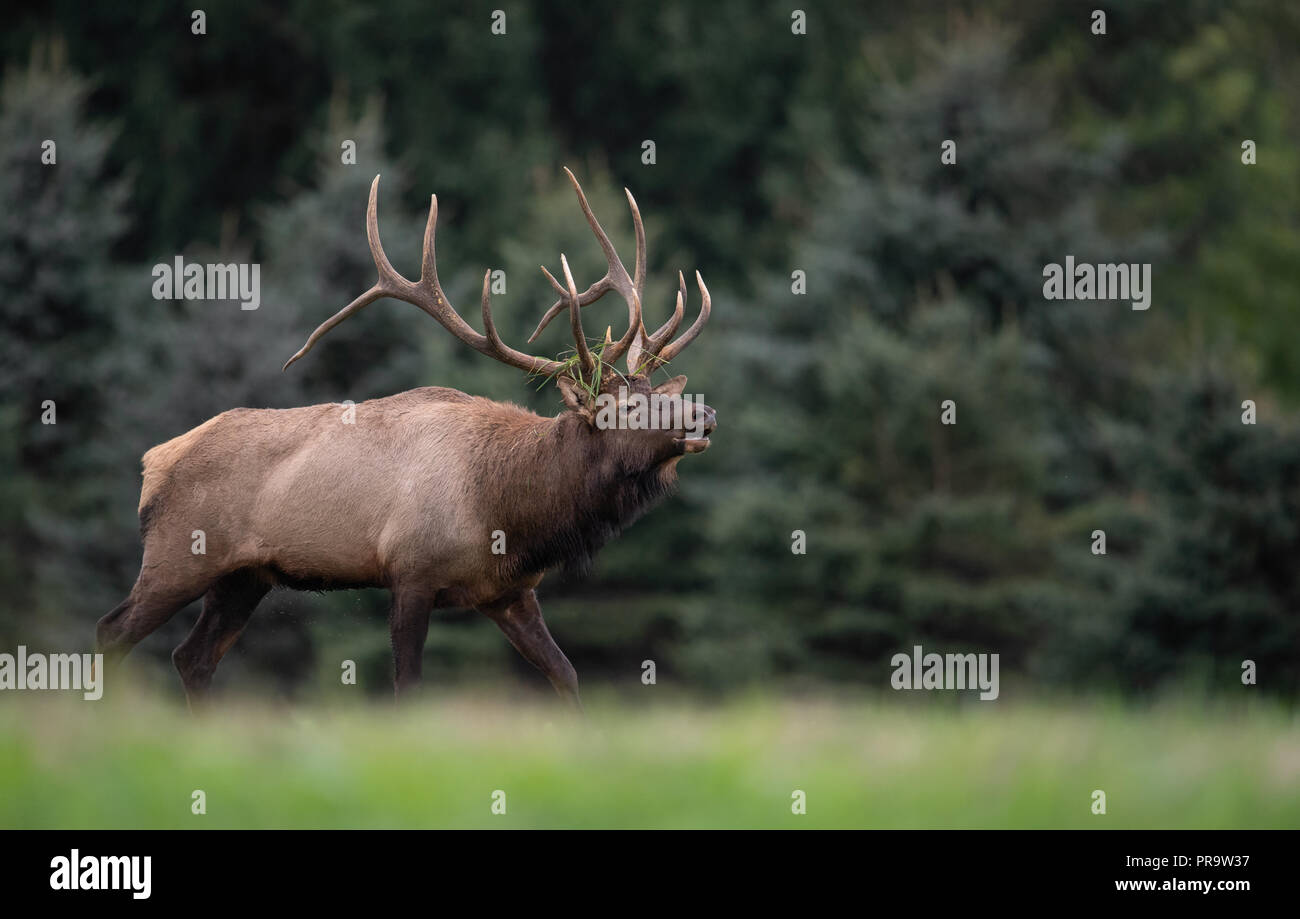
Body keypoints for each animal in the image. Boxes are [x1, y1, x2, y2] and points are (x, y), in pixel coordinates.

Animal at [96, 168, 717, 712]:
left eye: (657, 390)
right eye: (626, 406)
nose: (704, 413)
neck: (509, 511)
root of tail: (156, 462)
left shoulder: (510, 593)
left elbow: (567, 675)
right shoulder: (411, 573)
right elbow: (407, 690)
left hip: (243, 577)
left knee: (191, 657)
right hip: (178, 554)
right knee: (112, 632)